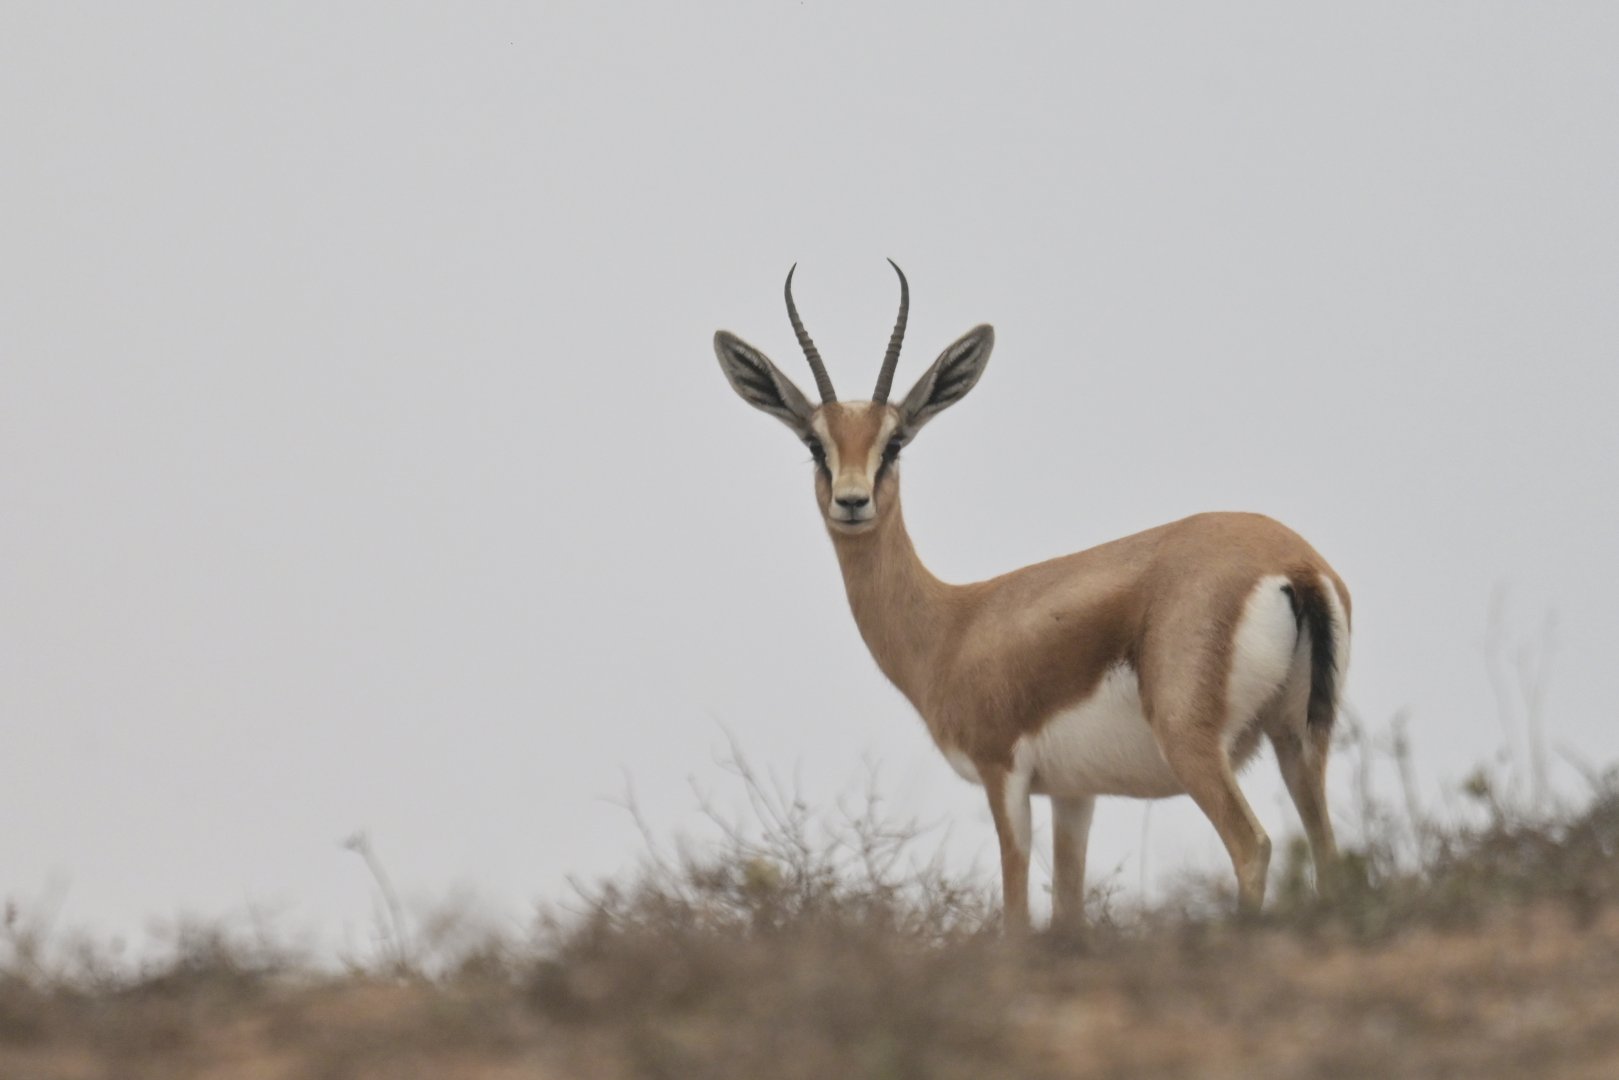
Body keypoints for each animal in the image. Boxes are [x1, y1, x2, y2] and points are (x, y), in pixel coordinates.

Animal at [712, 262, 1351, 932]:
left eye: (894, 443)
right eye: (816, 444)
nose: (853, 500)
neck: (952, 627)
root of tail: (1293, 563)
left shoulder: (1004, 774)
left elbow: (1016, 916)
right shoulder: (1074, 792)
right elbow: (1068, 910)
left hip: (1195, 747)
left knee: (1252, 847)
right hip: (1300, 742)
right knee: (1329, 857)